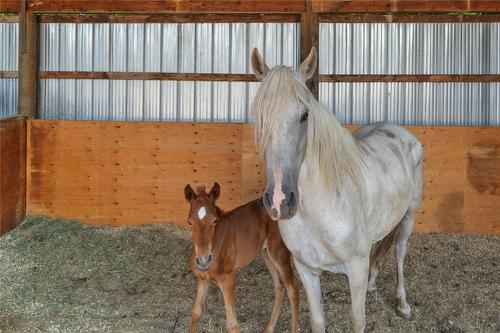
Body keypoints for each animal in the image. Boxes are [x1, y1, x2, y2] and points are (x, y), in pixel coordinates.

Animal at [186, 183, 298, 330]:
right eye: (189, 222)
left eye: (214, 221)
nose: (203, 261)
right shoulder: (202, 279)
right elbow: (195, 312)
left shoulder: (228, 280)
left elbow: (232, 325)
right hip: (266, 253)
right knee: (280, 286)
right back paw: (268, 329)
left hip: (279, 252)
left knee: (293, 289)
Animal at [250, 47, 422, 332]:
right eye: (258, 116)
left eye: (305, 115)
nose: (279, 201)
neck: (318, 212)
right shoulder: (306, 269)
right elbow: (318, 320)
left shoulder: (355, 268)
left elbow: (358, 319)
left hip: (408, 216)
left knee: (399, 251)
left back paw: (403, 304)